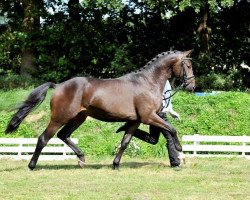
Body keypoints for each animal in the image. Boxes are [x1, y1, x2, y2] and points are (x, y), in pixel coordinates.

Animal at [4, 49, 194, 169]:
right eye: (188, 66)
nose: (192, 86)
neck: (147, 82)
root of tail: (58, 86)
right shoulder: (149, 116)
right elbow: (172, 129)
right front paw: (180, 151)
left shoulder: (136, 120)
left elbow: (125, 142)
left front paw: (115, 165)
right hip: (59, 118)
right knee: (44, 139)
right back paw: (32, 166)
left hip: (78, 118)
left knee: (63, 135)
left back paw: (81, 159)